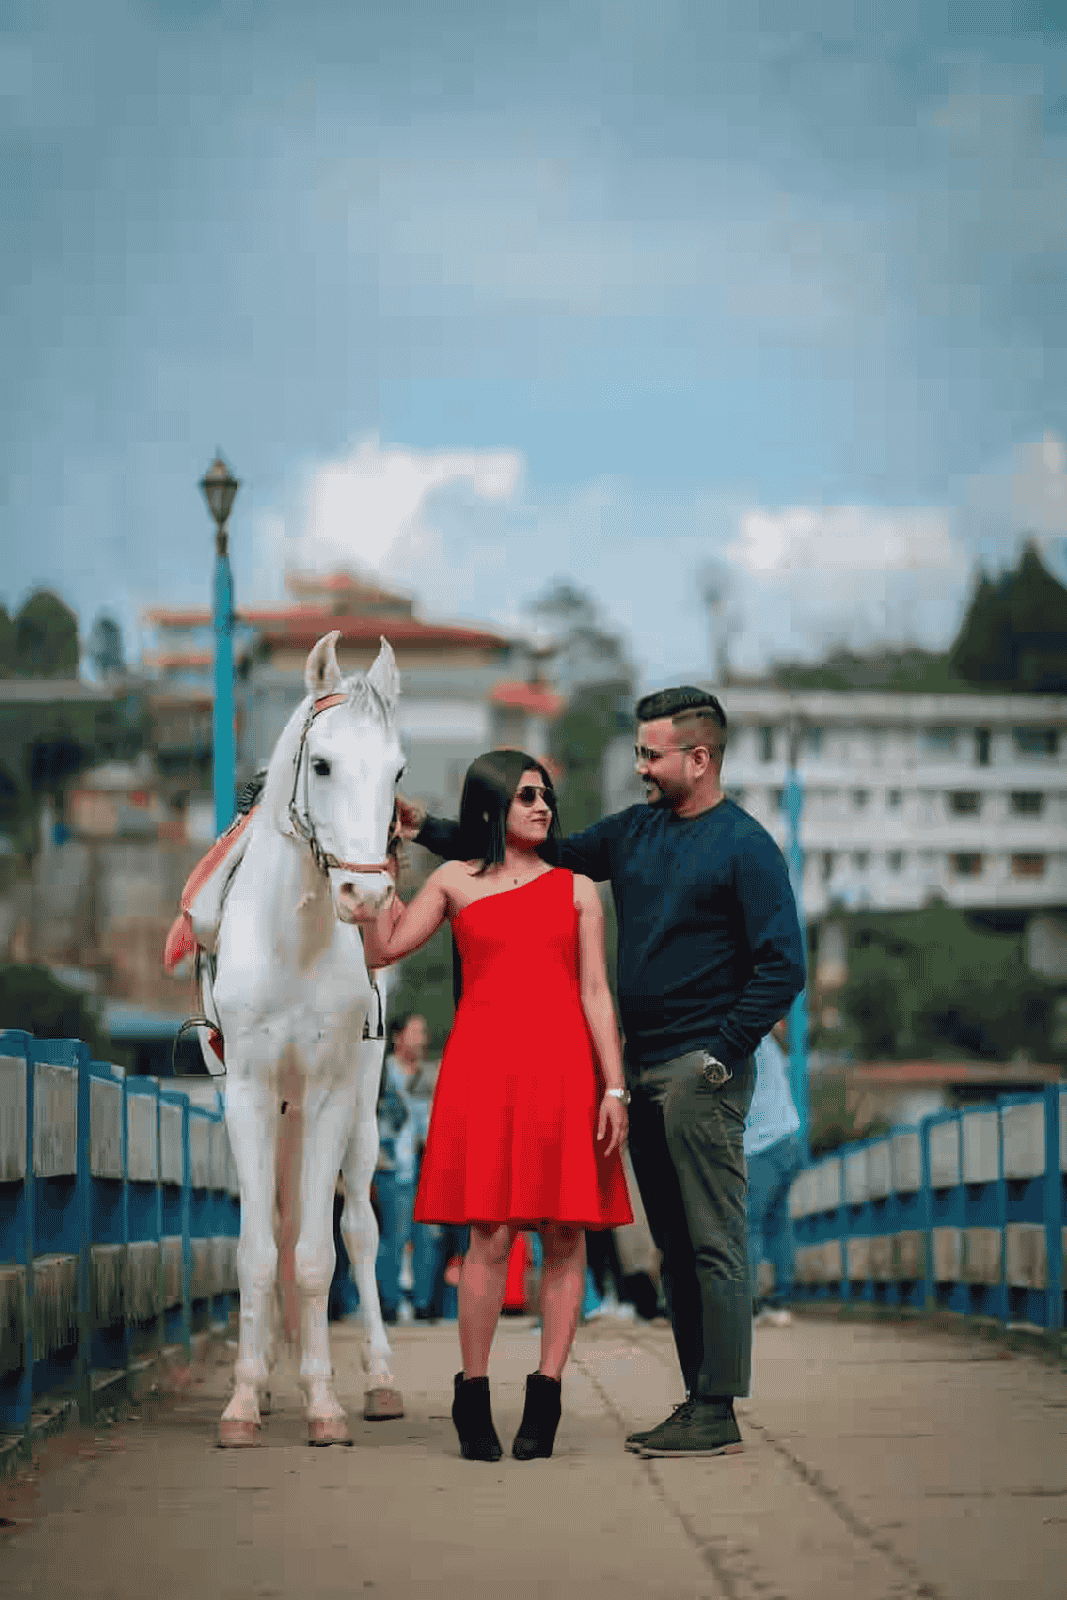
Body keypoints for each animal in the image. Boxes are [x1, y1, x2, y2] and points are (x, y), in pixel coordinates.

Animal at [199, 630, 404, 1446]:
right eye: (321, 765)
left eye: (396, 771)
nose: (366, 894)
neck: (294, 940)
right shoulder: (250, 1094)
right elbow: (257, 1249)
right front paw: (241, 1401)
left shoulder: (325, 1094)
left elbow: (319, 1254)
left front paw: (323, 1403)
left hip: (364, 1111)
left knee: (361, 1231)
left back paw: (378, 1381)